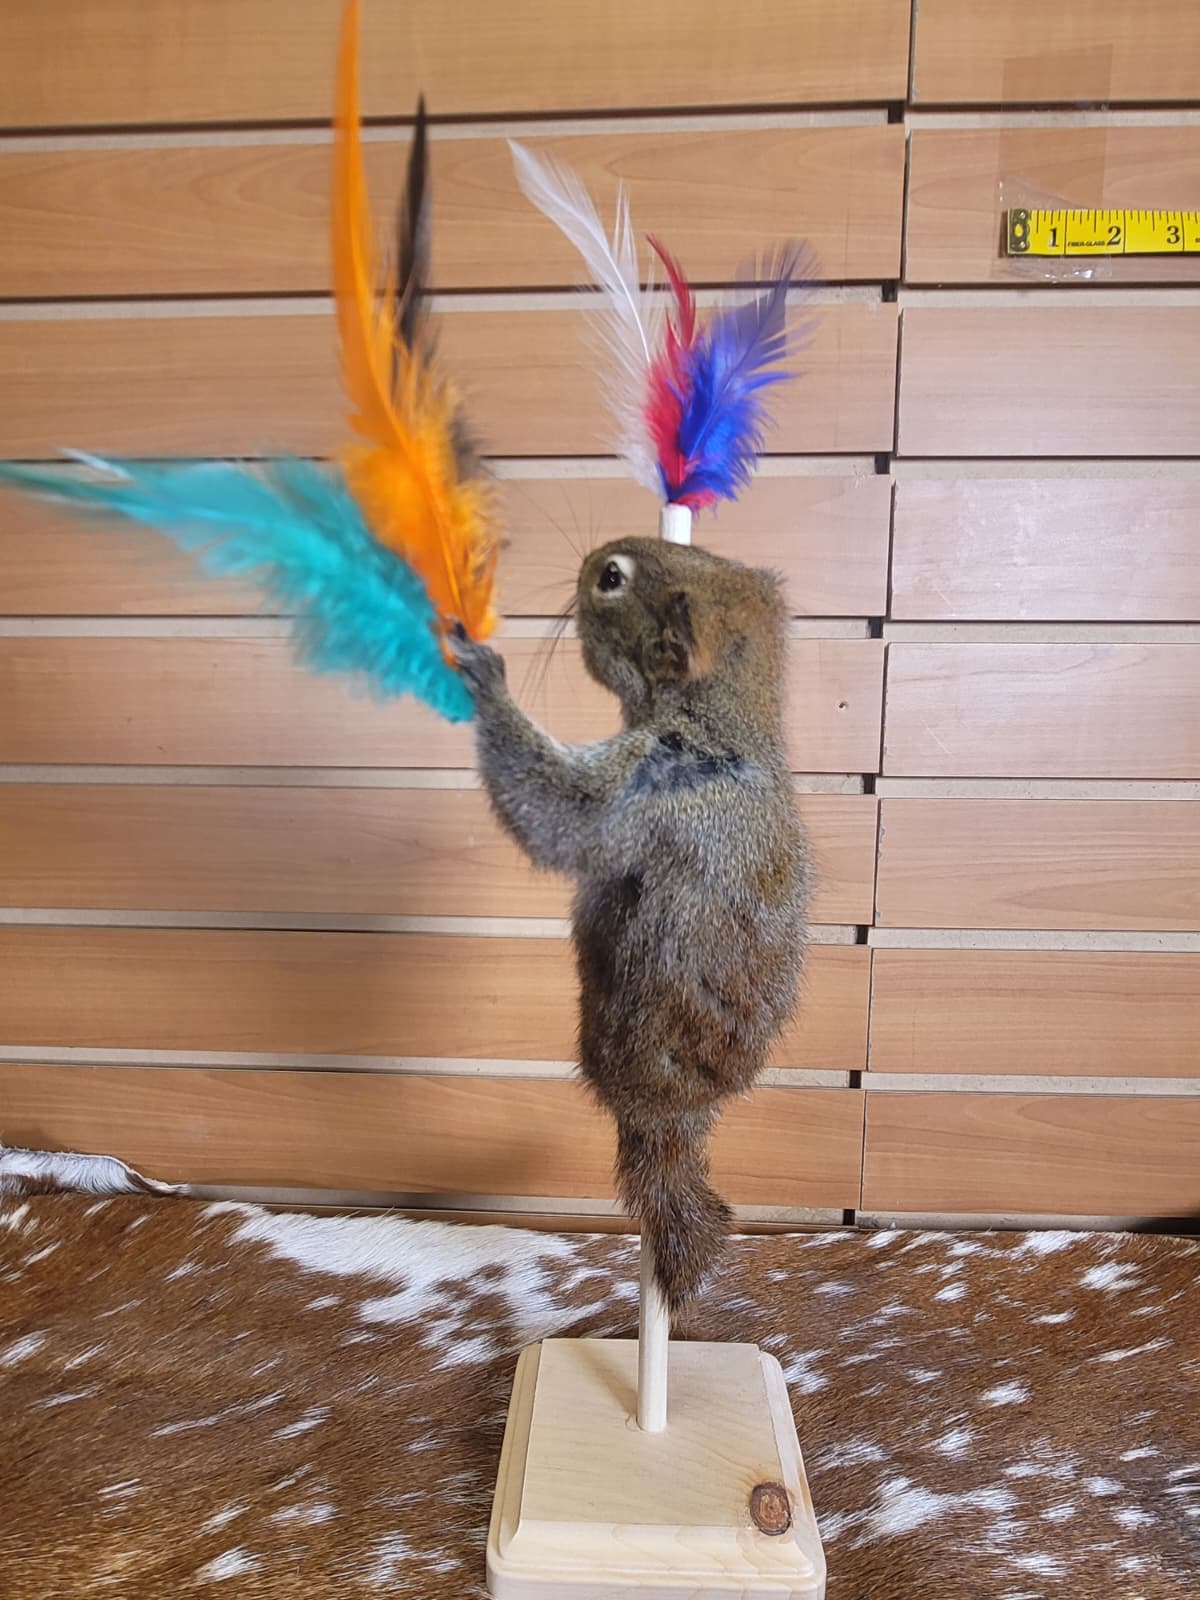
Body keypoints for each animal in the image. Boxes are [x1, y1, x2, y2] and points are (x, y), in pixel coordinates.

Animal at [451, 536, 809, 1310]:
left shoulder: (655, 783)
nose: (587, 558)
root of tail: (675, 1114)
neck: (727, 721)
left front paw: (485, 677)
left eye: (613, 579)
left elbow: (561, 812)